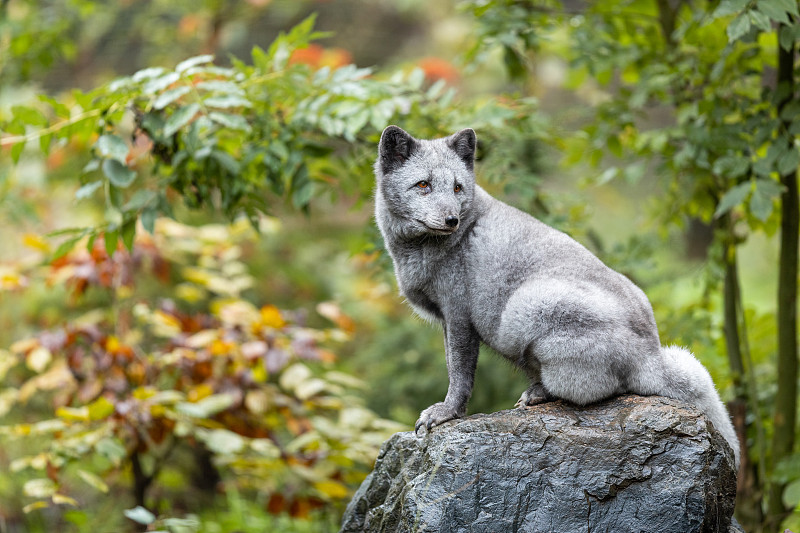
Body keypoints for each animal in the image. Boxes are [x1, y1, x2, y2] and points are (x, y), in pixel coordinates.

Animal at [372, 123, 740, 466]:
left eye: (457, 187)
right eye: (423, 185)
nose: (451, 220)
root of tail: (653, 355)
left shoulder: (459, 315)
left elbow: (459, 373)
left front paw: (447, 412)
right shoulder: (447, 321)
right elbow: (452, 365)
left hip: (525, 307)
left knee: (599, 390)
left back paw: (539, 394)